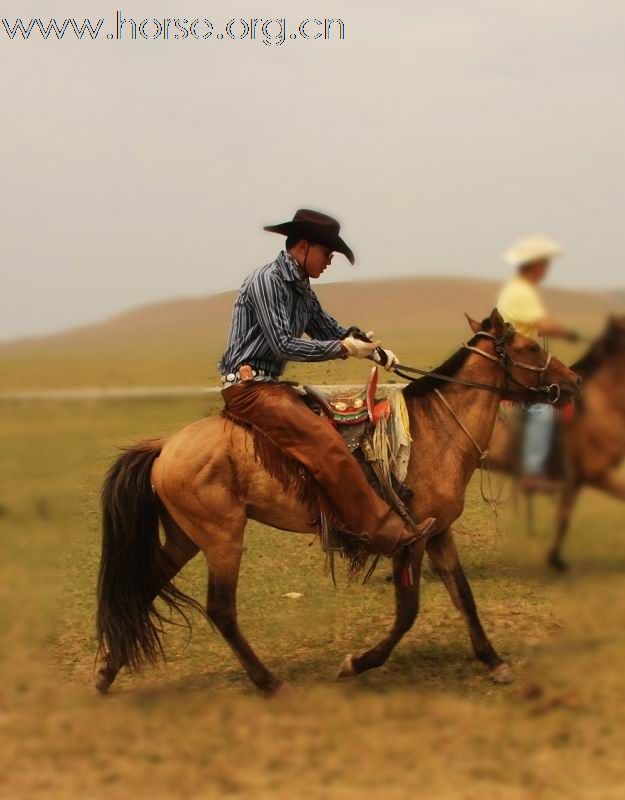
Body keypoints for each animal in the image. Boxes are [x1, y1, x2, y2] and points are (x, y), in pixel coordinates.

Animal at [95, 310, 576, 696]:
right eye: (531, 347)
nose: (573, 382)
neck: (436, 428)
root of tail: (165, 446)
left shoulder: (439, 532)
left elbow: (464, 597)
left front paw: (493, 661)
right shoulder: (411, 539)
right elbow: (408, 612)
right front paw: (357, 663)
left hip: (185, 536)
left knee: (141, 588)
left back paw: (107, 671)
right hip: (222, 537)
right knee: (220, 609)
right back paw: (269, 683)